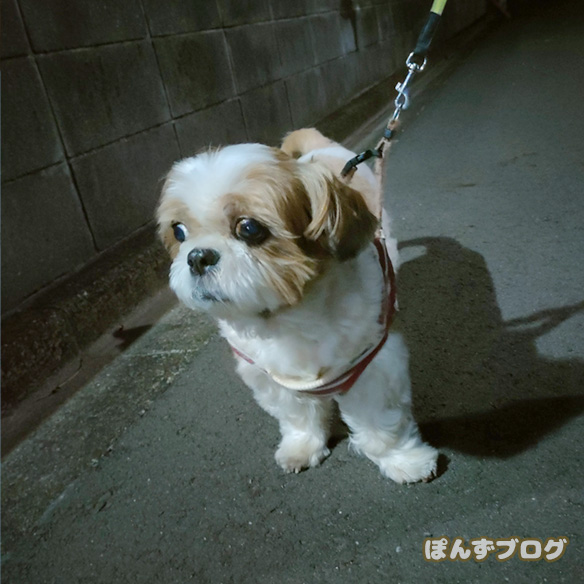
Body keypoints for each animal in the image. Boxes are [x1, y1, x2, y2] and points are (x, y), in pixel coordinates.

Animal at [156, 128, 437, 483]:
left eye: (248, 228)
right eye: (179, 231)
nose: (197, 257)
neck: (288, 318)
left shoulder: (373, 366)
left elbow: (382, 424)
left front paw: (404, 460)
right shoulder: (272, 378)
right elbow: (298, 417)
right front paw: (302, 447)